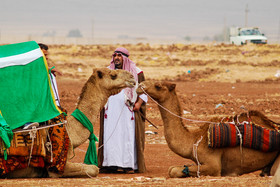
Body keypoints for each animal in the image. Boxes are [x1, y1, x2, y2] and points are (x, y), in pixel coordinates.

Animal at [138, 80, 280, 177]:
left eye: (158, 85)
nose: (140, 86)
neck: (194, 139)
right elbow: (172, 168)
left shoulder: (213, 165)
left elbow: (174, 170)